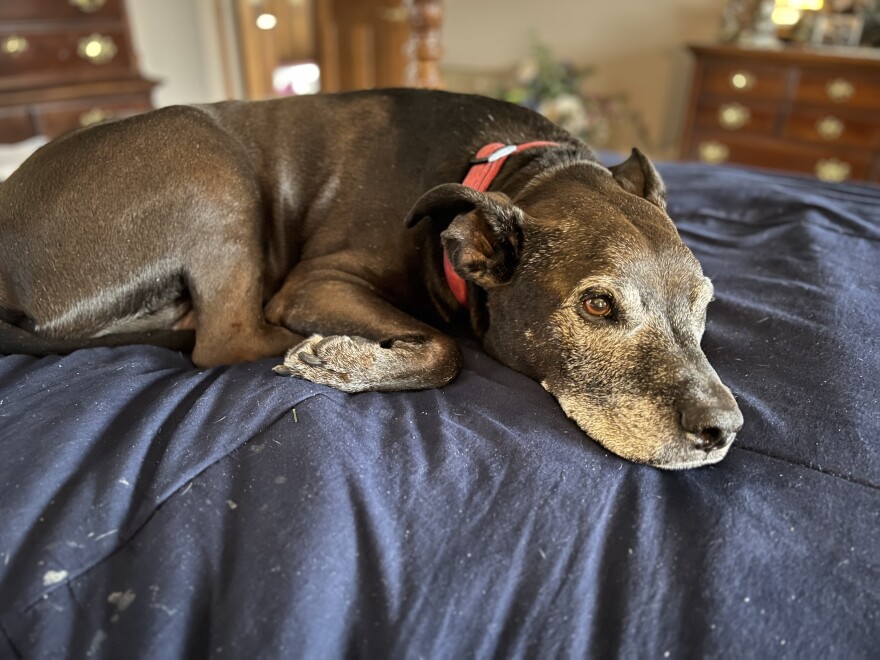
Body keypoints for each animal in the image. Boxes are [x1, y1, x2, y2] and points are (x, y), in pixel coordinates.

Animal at [0, 89, 744, 470]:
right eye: (596, 305)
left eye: (706, 304)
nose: (722, 429)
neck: (514, 170)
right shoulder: (317, 283)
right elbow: (445, 352)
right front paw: (348, 360)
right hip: (210, 164)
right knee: (226, 339)